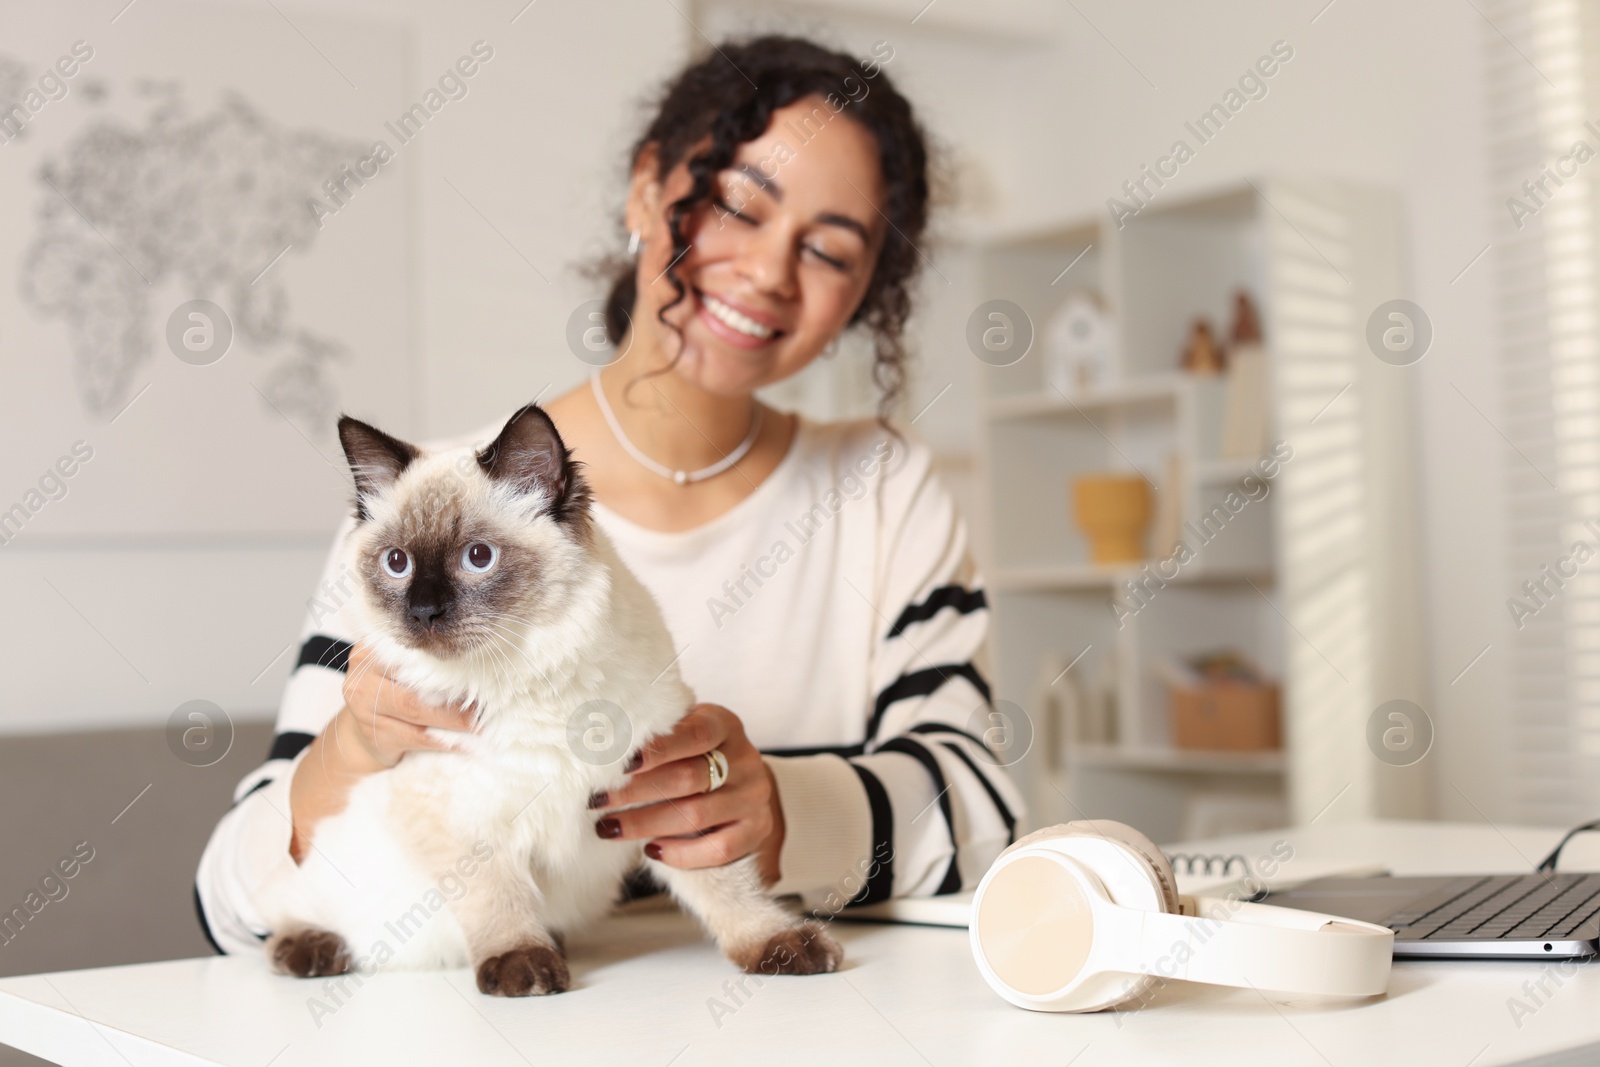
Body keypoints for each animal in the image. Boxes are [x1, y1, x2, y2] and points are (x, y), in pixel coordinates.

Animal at [257, 399, 844, 991]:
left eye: (478, 557)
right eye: (396, 563)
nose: (422, 612)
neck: (523, 674)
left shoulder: (662, 791)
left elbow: (725, 886)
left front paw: (776, 946)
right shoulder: (461, 815)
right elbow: (497, 900)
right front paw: (523, 968)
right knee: (284, 916)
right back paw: (312, 951)